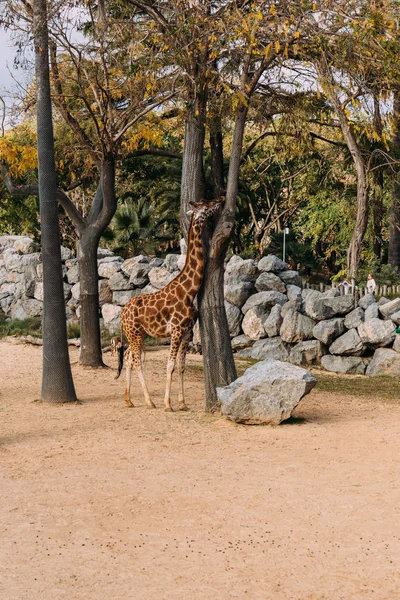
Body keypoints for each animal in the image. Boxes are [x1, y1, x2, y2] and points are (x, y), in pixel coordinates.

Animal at [117, 199, 223, 410]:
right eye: (207, 206)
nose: (222, 200)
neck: (189, 292)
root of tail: (122, 313)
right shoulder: (175, 330)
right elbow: (170, 365)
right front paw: (168, 403)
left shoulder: (187, 332)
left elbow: (181, 366)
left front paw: (182, 403)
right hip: (134, 333)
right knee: (136, 361)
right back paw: (150, 401)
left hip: (140, 334)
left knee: (129, 357)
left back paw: (129, 399)